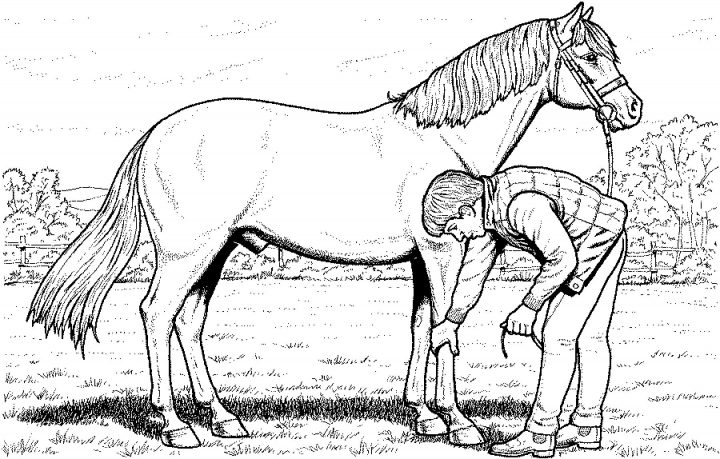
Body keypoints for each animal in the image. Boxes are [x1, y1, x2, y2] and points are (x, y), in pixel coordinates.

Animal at [28, 3, 641, 448]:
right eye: (588, 54)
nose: (631, 110)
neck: (445, 138)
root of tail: (157, 134)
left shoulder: (424, 259)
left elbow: (423, 327)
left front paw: (423, 415)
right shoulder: (443, 252)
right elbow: (445, 327)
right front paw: (458, 423)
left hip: (215, 253)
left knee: (189, 323)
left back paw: (223, 419)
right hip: (187, 252)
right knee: (157, 315)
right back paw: (177, 427)